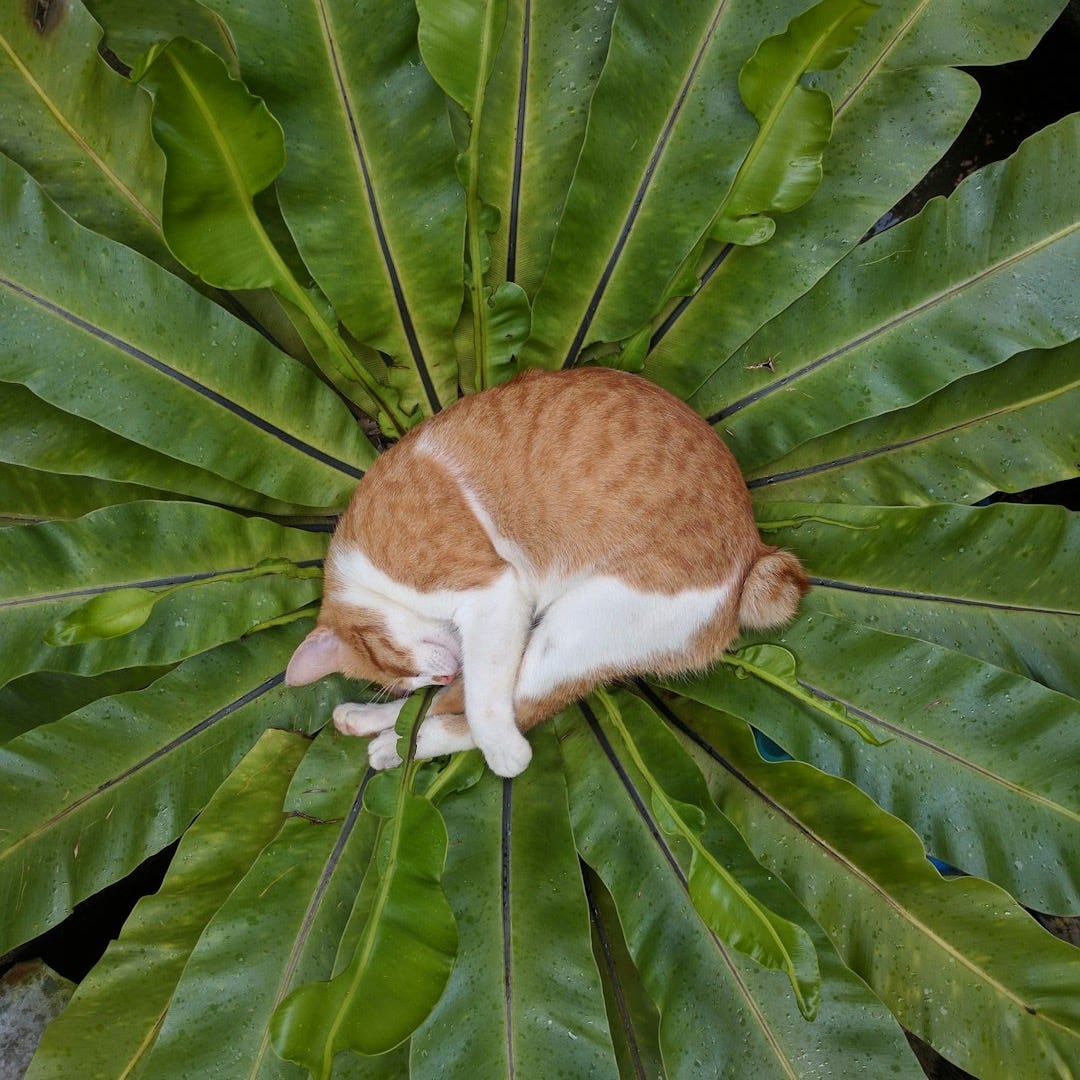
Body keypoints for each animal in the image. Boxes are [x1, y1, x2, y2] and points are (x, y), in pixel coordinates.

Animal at [282, 369, 807, 777]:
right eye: (409, 679)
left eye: (400, 664)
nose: (440, 672)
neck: (366, 571)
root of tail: (754, 551)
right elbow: (458, 693)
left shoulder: (494, 592)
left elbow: (484, 700)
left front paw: (501, 749)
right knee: (466, 701)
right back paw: (371, 725)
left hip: (575, 628)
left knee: (512, 708)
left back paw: (407, 746)